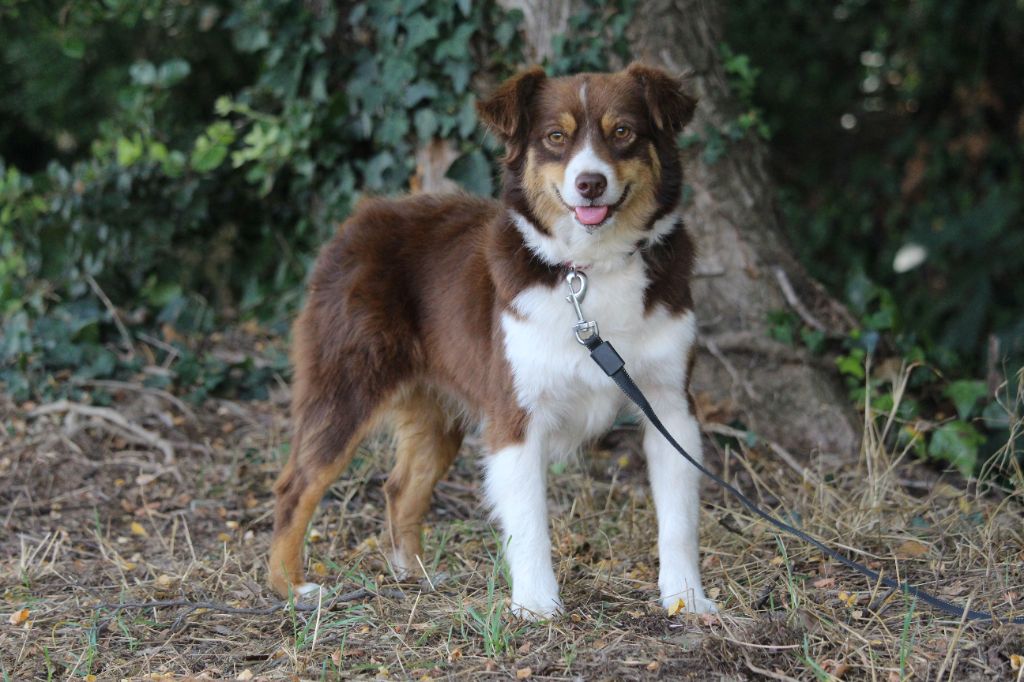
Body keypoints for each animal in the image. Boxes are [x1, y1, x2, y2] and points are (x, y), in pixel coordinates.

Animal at [268, 62, 716, 614]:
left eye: (623, 132)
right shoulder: (514, 414)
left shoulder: (670, 405)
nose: (590, 184)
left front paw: (686, 599)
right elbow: (528, 522)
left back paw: (416, 576)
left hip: (437, 415)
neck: (589, 268)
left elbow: (679, 520)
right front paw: (537, 606)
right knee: (296, 485)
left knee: (400, 487)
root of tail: (360, 218)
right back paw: (291, 587)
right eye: (555, 137)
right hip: (346, 386)